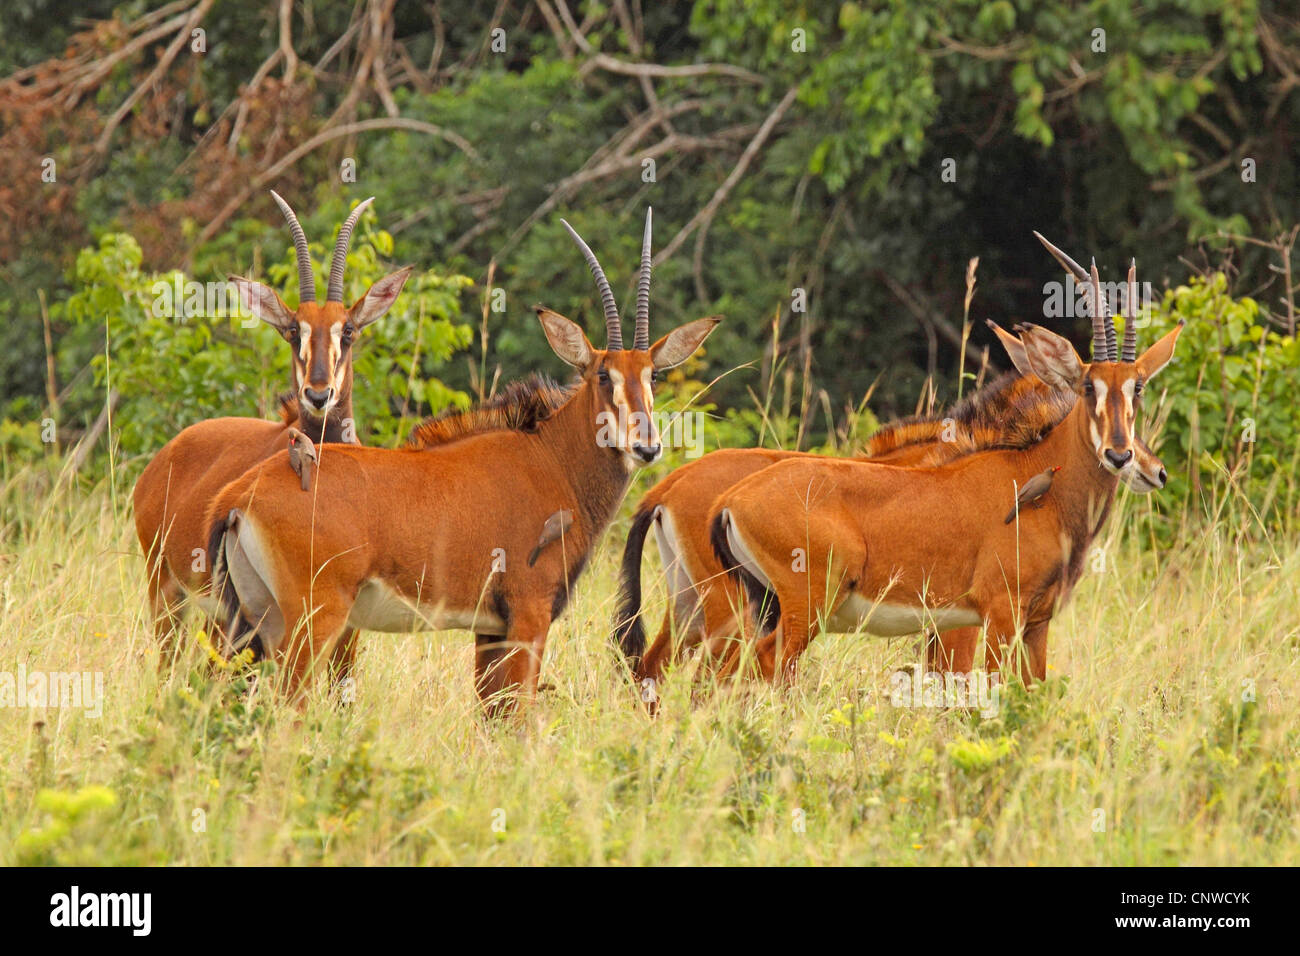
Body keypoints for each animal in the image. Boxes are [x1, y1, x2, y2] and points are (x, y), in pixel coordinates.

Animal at [131, 192, 405, 671]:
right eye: (294, 330)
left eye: (349, 330)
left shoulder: (349, 625)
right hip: (171, 594)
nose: (318, 394)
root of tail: (162, 459)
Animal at [208, 210, 728, 717]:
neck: (552, 459)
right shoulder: (529, 615)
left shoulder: (490, 629)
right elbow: (518, 719)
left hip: (257, 623)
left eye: (653, 376)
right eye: (603, 375)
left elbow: (490, 717)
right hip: (312, 621)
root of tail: (238, 496)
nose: (647, 447)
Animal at [707, 240, 1185, 686]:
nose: (1122, 456)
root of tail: (731, 501)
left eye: (1137, 387)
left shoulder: (1036, 623)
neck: (1041, 481)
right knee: (762, 664)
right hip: (806, 606)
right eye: (1088, 386)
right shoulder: (999, 613)